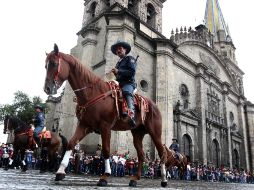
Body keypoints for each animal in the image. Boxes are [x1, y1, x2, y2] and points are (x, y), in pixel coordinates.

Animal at [44, 44, 169, 187]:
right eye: (46, 65)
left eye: (54, 64)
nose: (47, 88)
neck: (93, 92)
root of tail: (154, 106)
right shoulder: (84, 125)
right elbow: (71, 143)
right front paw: (60, 172)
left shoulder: (105, 127)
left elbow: (106, 150)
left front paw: (105, 176)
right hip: (137, 133)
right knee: (142, 155)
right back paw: (135, 179)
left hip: (155, 133)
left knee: (162, 153)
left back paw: (164, 180)